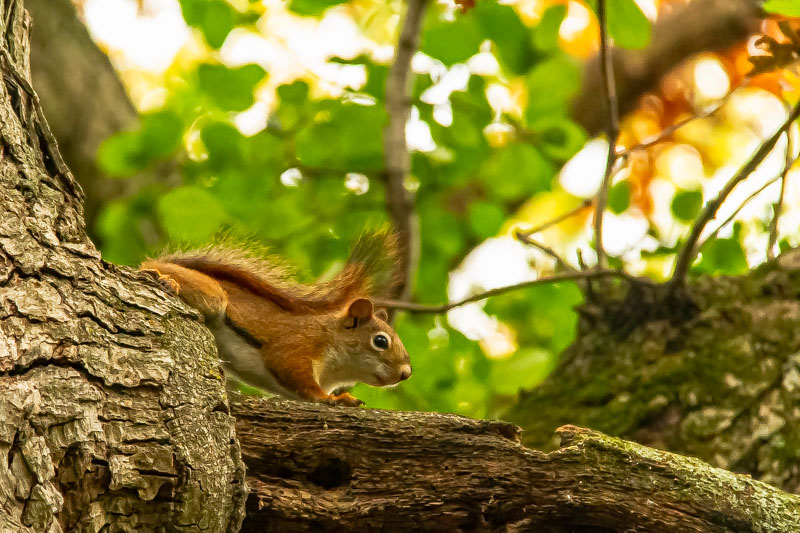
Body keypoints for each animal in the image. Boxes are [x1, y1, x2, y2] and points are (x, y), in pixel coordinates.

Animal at [140, 231, 411, 407]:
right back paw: (164, 279)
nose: (406, 373)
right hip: (213, 296)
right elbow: (298, 376)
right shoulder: (297, 346)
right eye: (380, 341)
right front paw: (333, 399)